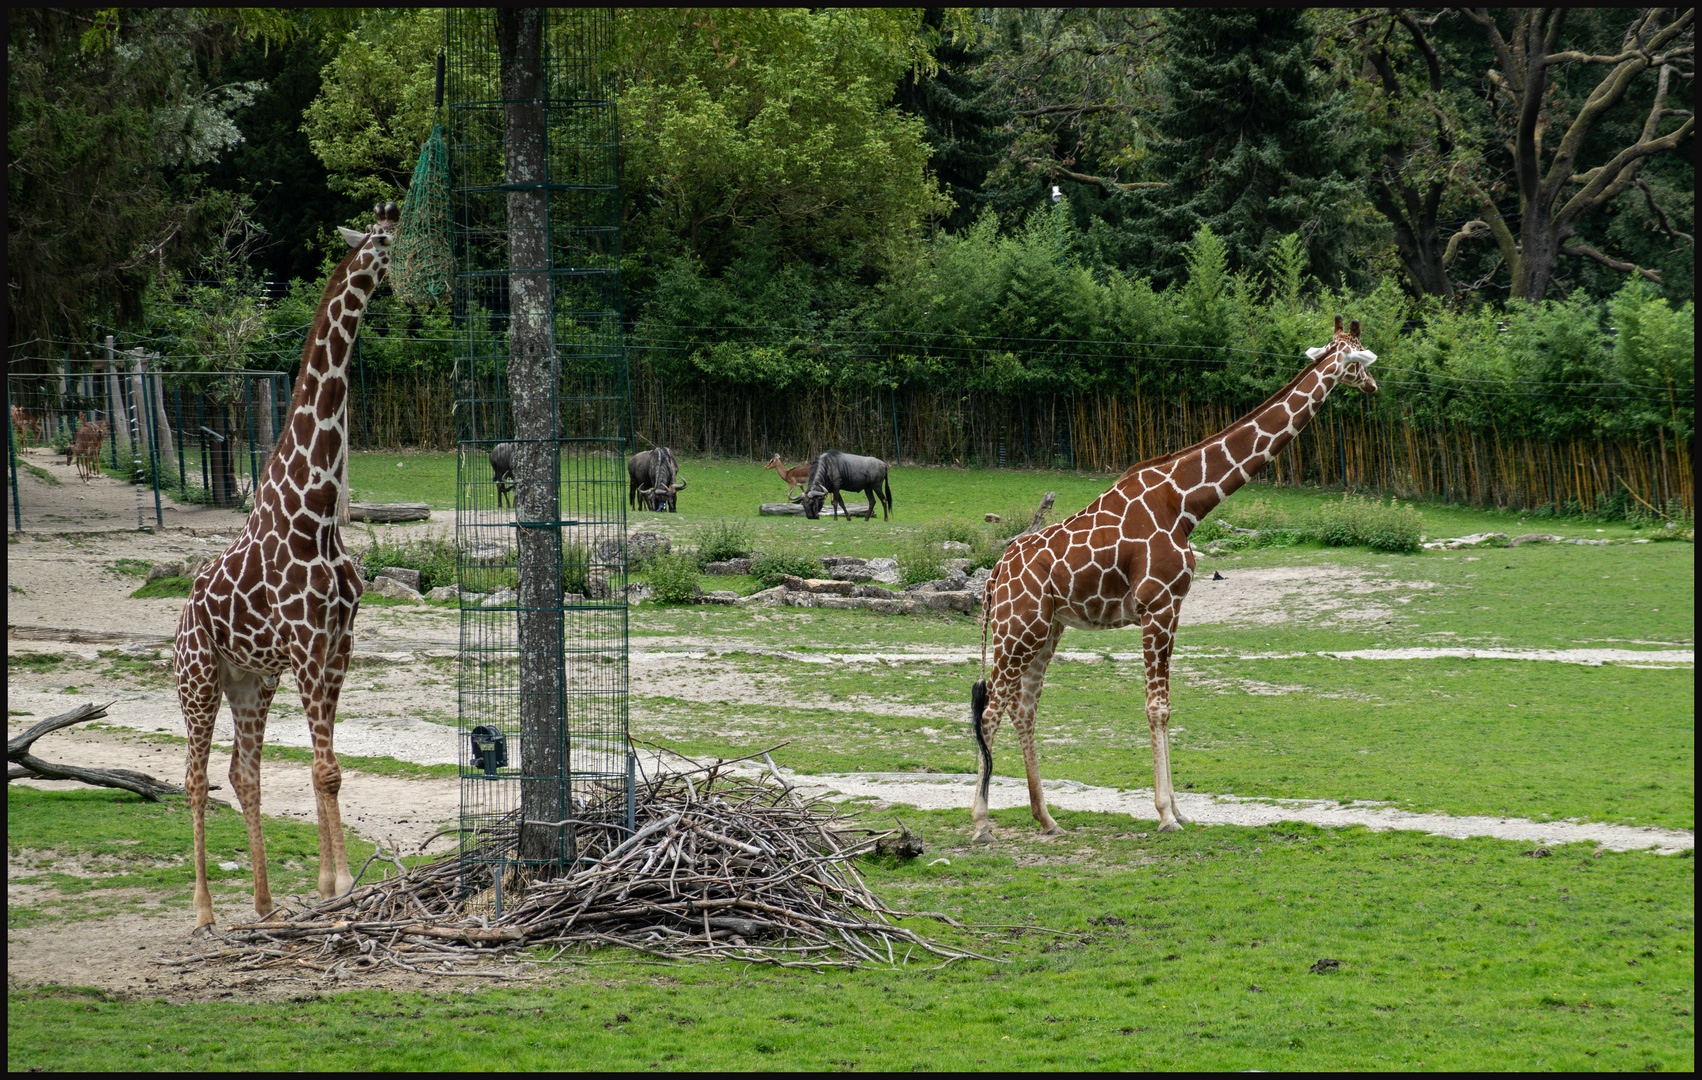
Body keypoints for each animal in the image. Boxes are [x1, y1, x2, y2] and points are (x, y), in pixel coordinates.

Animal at [174, 204, 399, 938]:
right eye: (383, 237)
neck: (315, 508)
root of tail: (181, 615)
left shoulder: (338, 641)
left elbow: (328, 766)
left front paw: (329, 885)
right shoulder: (305, 642)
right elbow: (325, 768)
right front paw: (340, 888)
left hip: (251, 681)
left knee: (244, 772)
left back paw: (265, 903)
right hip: (197, 678)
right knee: (195, 777)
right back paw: (205, 912)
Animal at [973, 316, 1382, 840]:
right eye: (1357, 360)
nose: (1372, 385)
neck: (1187, 502)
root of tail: (993, 575)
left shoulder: (1174, 609)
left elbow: (1168, 706)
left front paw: (1181, 810)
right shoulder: (1158, 606)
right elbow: (1157, 707)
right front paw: (1167, 814)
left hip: (1046, 631)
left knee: (1023, 709)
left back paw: (1047, 819)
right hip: (1016, 631)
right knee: (991, 710)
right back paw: (981, 822)